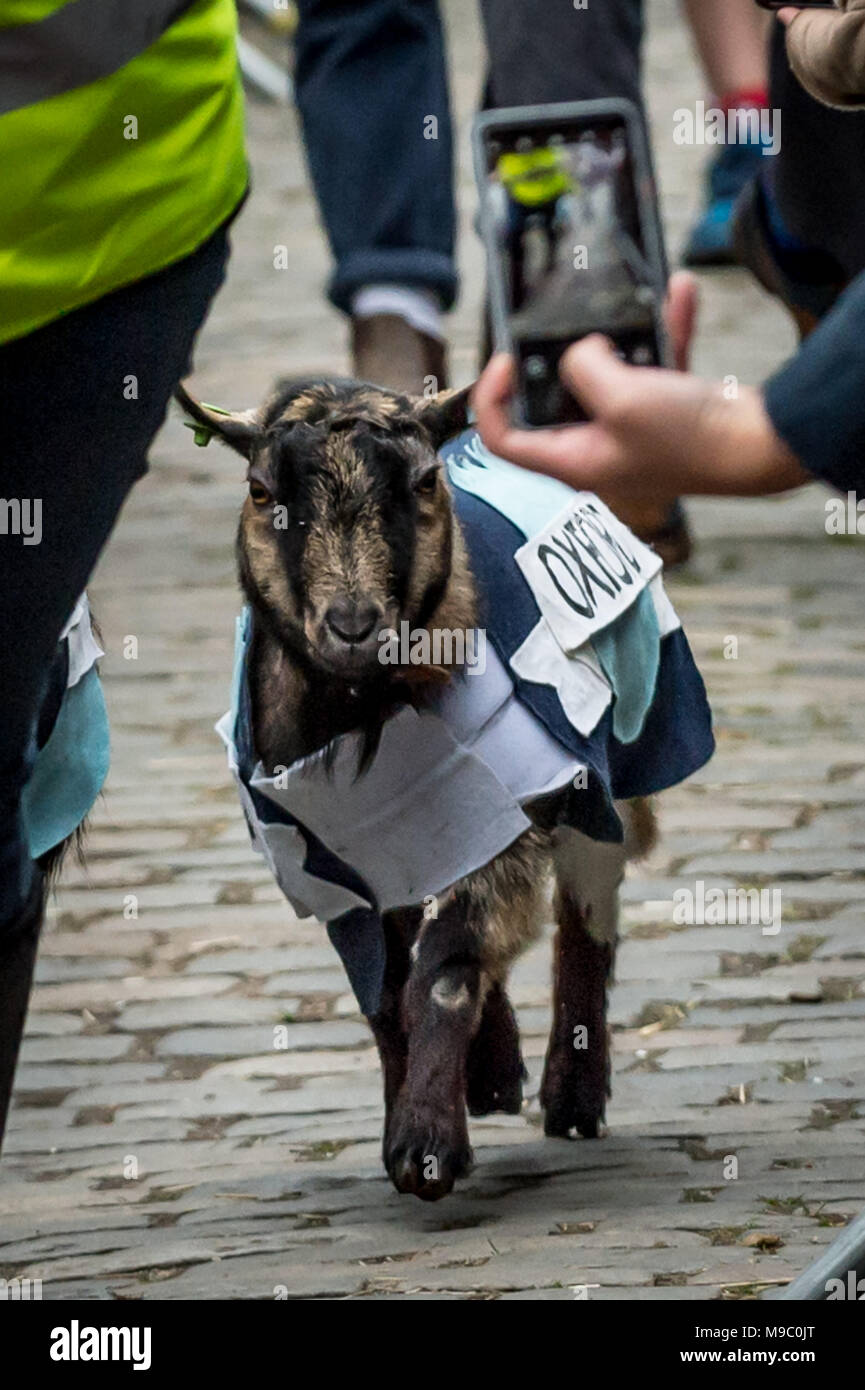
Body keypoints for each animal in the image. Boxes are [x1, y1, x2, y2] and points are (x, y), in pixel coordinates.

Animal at [178, 375, 717, 1200]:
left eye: (425, 483)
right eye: (260, 490)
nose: (353, 623)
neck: (366, 711)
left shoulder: (513, 801)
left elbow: (444, 966)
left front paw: (425, 1145)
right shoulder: (326, 861)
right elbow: (383, 991)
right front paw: (423, 1110)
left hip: (608, 768)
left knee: (583, 915)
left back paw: (571, 1095)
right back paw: (495, 1073)